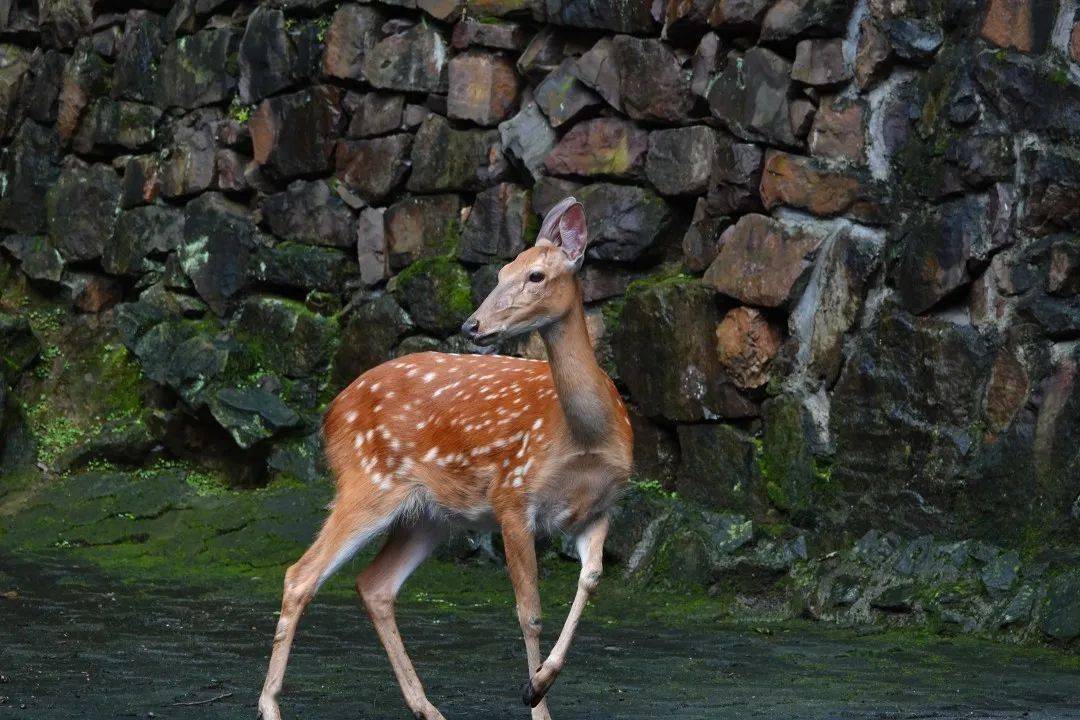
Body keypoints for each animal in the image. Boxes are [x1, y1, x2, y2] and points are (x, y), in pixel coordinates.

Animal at [257, 198, 630, 720]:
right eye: (501, 271)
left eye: (535, 275)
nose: (472, 325)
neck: (585, 438)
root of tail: (331, 413)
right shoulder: (512, 496)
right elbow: (529, 613)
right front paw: (534, 697)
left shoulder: (598, 510)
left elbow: (591, 579)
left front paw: (539, 682)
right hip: (367, 481)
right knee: (301, 575)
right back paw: (270, 705)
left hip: (430, 514)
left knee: (375, 585)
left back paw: (426, 708)